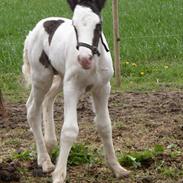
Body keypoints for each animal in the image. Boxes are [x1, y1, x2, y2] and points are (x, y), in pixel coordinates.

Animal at [22, 0, 129, 182]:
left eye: (99, 25)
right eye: (74, 25)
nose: (84, 59)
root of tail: (34, 30)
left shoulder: (102, 88)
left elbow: (104, 125)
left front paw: (117, 168)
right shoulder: (71, 88)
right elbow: (70, 130)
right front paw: (59, 175)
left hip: (59, 78)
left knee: (47, 99)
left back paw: (50, 143)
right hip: (42, 78)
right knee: (32, 110)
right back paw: (45, 161)